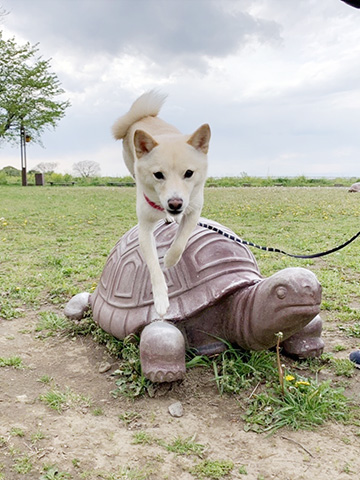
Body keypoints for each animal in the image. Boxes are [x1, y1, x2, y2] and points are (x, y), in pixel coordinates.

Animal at [111, 91, 210, 318]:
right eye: (158, 175)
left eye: (189, 173)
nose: (175, 204)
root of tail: (141, 117)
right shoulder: (145, 228)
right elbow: (154, 266)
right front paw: (161, 298)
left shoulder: (194, 210)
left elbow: (180, 242)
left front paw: (171, 259)